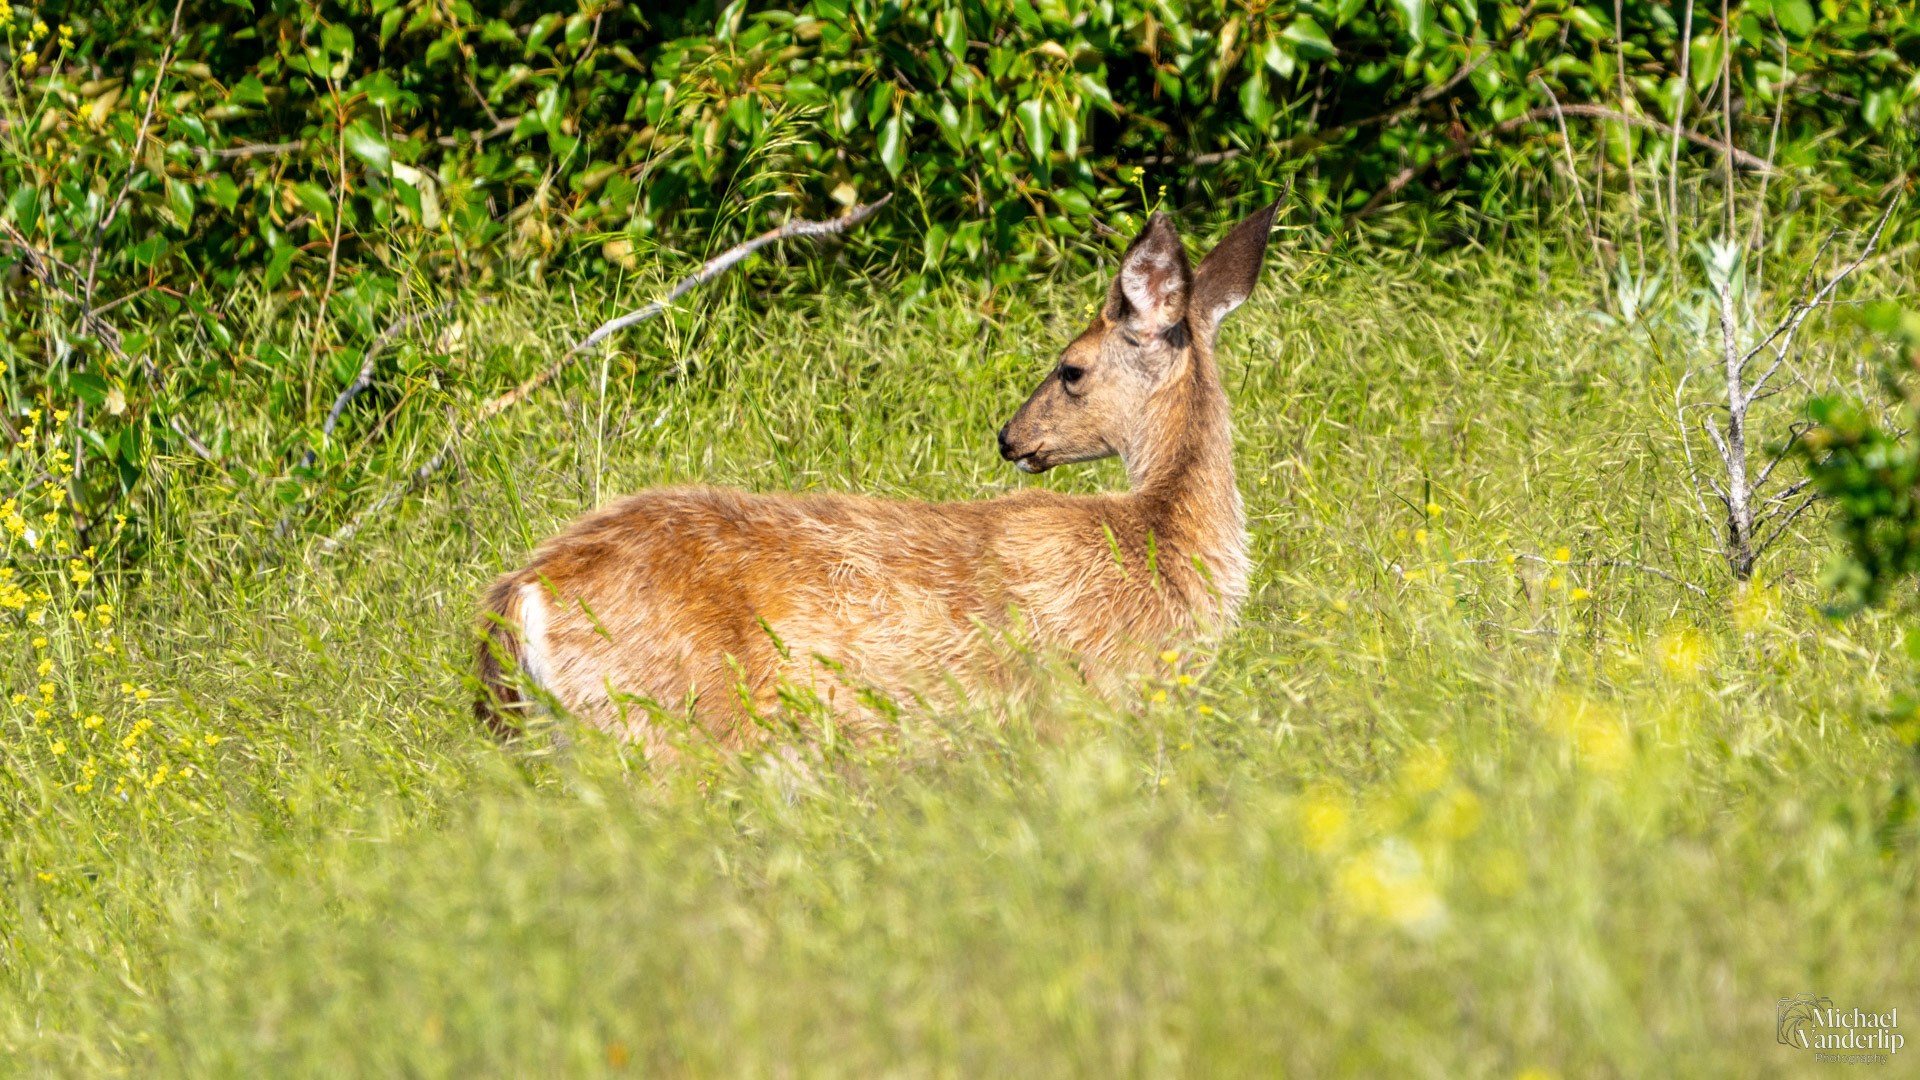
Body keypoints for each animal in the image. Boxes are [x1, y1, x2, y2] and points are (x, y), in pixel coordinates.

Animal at [475, 198, 1282, 753]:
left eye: (1070, 369)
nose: (1009, 438)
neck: (1160, 544)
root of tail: (521, 594)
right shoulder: (1088, 701)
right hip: (670, 727)